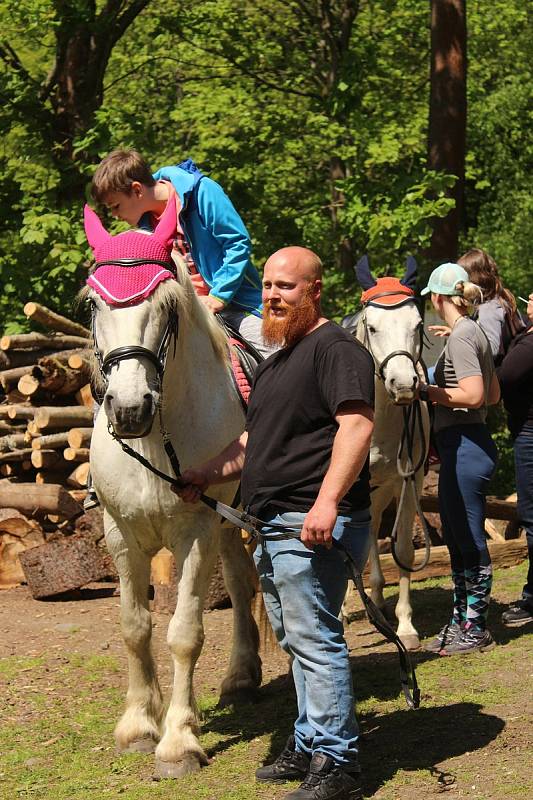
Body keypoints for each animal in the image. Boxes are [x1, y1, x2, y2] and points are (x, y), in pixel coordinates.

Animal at [81, 198, 262, 776]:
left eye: (166, 305)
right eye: (94, 303)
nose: (129, 407)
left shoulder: (196, 531)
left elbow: (184, 632)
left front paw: (179, 740)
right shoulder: (120, 534)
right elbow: (134, 626)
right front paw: (140, 724)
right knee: (245, 583)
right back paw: (241, 675)